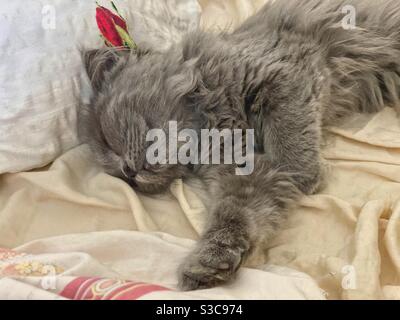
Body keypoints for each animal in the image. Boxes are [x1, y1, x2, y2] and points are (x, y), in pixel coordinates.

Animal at [78, 0, 400, 290]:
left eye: (107, 139)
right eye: (118, 175)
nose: (127, 172)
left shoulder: (287, 70)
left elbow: (291, 129)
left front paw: (304, 175)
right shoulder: (243, 171)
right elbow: (236, 215)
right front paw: (209, 263)